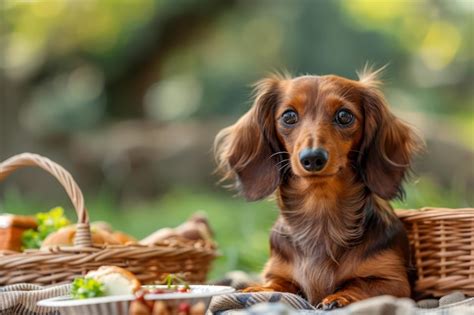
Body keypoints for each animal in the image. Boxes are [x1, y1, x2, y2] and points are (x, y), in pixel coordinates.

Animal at [215, 69, 422, 312]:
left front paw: (339, 297)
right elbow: (277, 285)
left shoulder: (394, 281)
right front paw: (257, 290)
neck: (320, 210)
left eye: (344, 116)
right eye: (288, 116)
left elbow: (360, 284)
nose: (312, 158)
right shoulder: (278, 273)